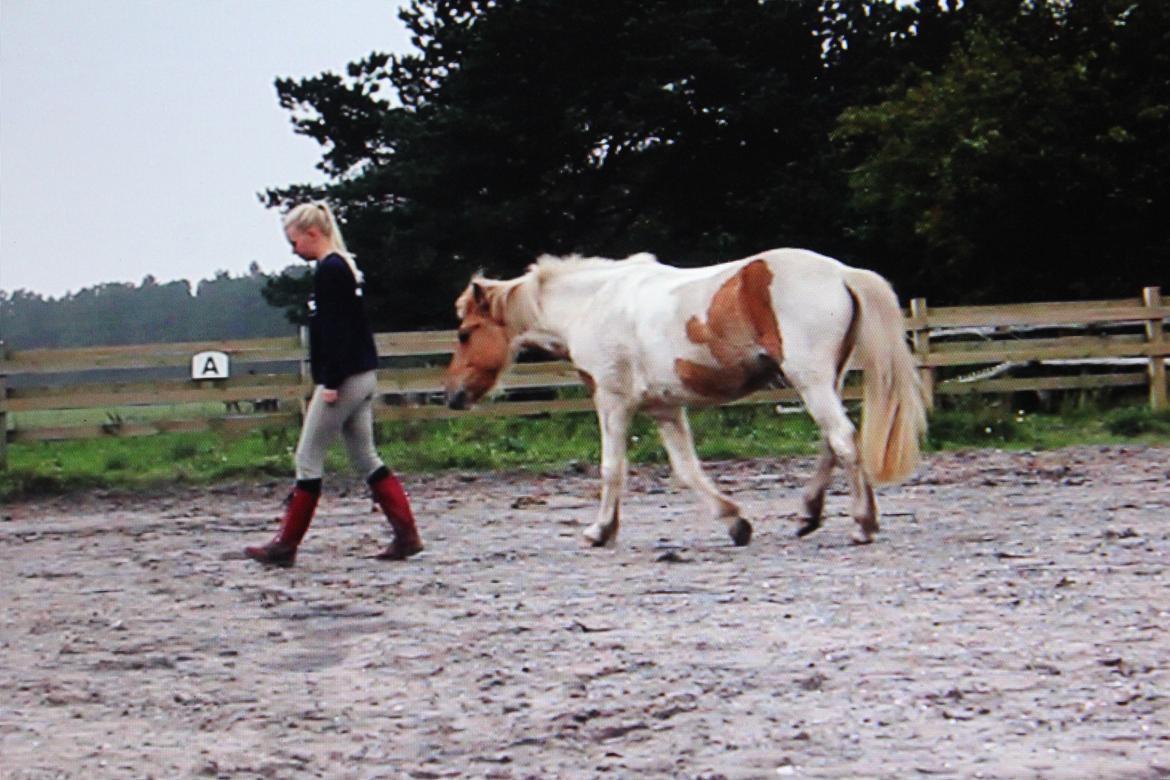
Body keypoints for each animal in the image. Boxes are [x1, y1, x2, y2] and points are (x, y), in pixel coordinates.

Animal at [442, 246, 926, 547]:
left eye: (465, 333)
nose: (451, 395)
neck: (593, 301)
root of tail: (842, 273)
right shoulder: (665, 409)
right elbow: (687, 469)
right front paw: (734, 522)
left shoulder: (612, 401)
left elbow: (611, 469)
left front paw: (599, 531)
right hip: (826, 381)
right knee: (834, 442)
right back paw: (809, 513)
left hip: (811, 381)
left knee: (842, 440)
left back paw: (862, 525)